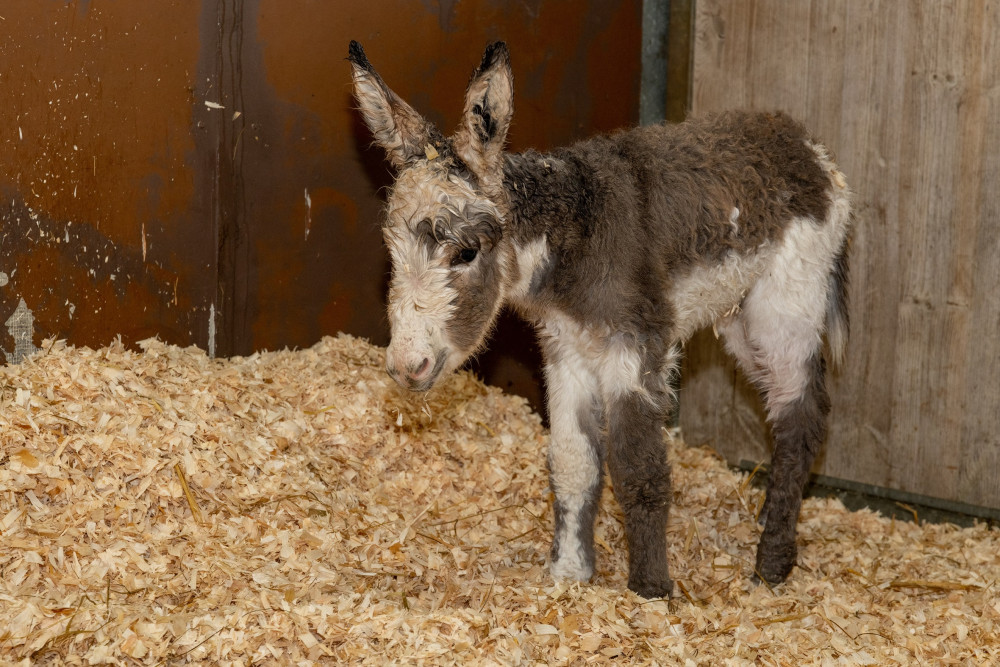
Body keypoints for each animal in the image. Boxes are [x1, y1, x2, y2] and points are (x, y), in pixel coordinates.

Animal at [348, 39, 848, 596]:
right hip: (739, 317)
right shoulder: (567, 353)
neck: (573, 236)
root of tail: (801, 140)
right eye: (393, 254)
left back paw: (772, 563)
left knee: (800, 415)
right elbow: (572, 462)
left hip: (787, 304)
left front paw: (650, 589)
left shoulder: (636, 348)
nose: (405, 367)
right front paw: (568, 573)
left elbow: (638, 470)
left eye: (466, 252)